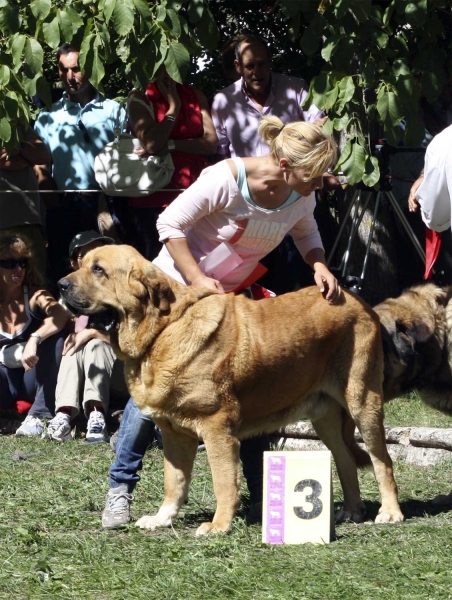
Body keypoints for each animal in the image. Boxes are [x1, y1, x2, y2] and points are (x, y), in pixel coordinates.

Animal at [59, 244, 402, 536]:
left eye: (99, 270)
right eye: (82, 265)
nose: (61, 285)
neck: (163, 331)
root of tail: (358, 301)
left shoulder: (216, 429)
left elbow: (223, 482)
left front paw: (218, 526)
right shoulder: (174, 433)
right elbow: (174, 481)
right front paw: (162, 518)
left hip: (363, 402)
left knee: (382, 459)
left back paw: (390, 513)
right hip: (326, 417)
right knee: (345, 459)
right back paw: (352, 511)